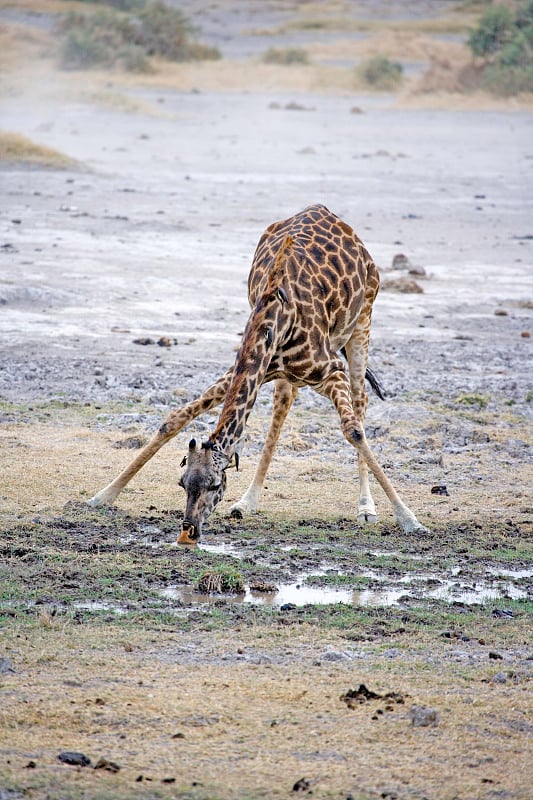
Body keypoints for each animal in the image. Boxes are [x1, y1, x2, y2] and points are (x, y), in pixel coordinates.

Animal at [88, 206, 428, 544]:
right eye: (182, 483)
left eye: (215, 484)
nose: (188, 533)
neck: (273, 316)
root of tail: (332, 216)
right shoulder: (251, 368)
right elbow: (175, 418)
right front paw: (103, 495)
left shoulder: (332, 370)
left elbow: (353, 431)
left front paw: (409, 520)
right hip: (289, 373)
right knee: (284, 402)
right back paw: (248, 501)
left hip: (362, 321)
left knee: (360, 400)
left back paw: (366, 507)